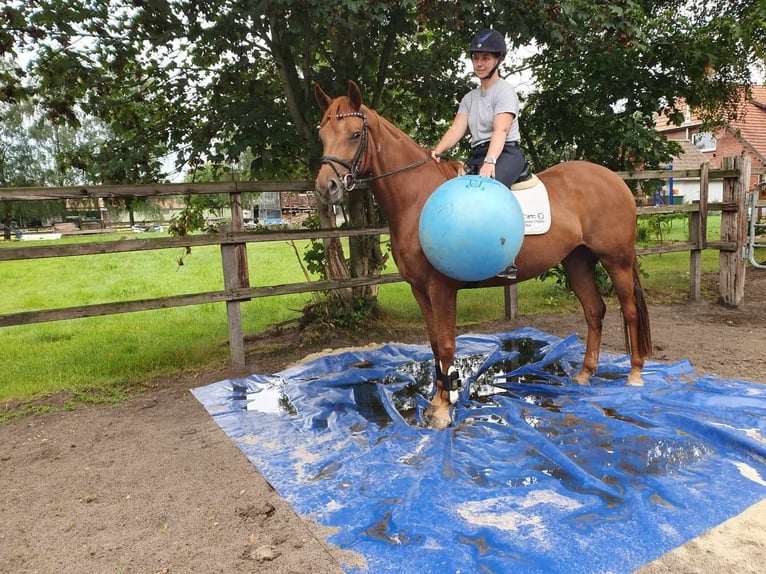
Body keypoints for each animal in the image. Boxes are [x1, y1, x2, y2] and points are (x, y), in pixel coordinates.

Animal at [316, 81, 652, 426]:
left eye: (355, 133)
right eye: (323, 134)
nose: (326, 187)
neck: (418, 200)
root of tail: (616, 181)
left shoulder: (441, 288)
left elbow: (447, 345)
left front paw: (444, 409)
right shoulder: (419, 290)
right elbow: (434, 343)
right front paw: (437, 400)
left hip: (617, 260)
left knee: (629, 310)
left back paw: (635, 374)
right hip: (578, 261)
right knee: (594, 311)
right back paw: (585, 374)